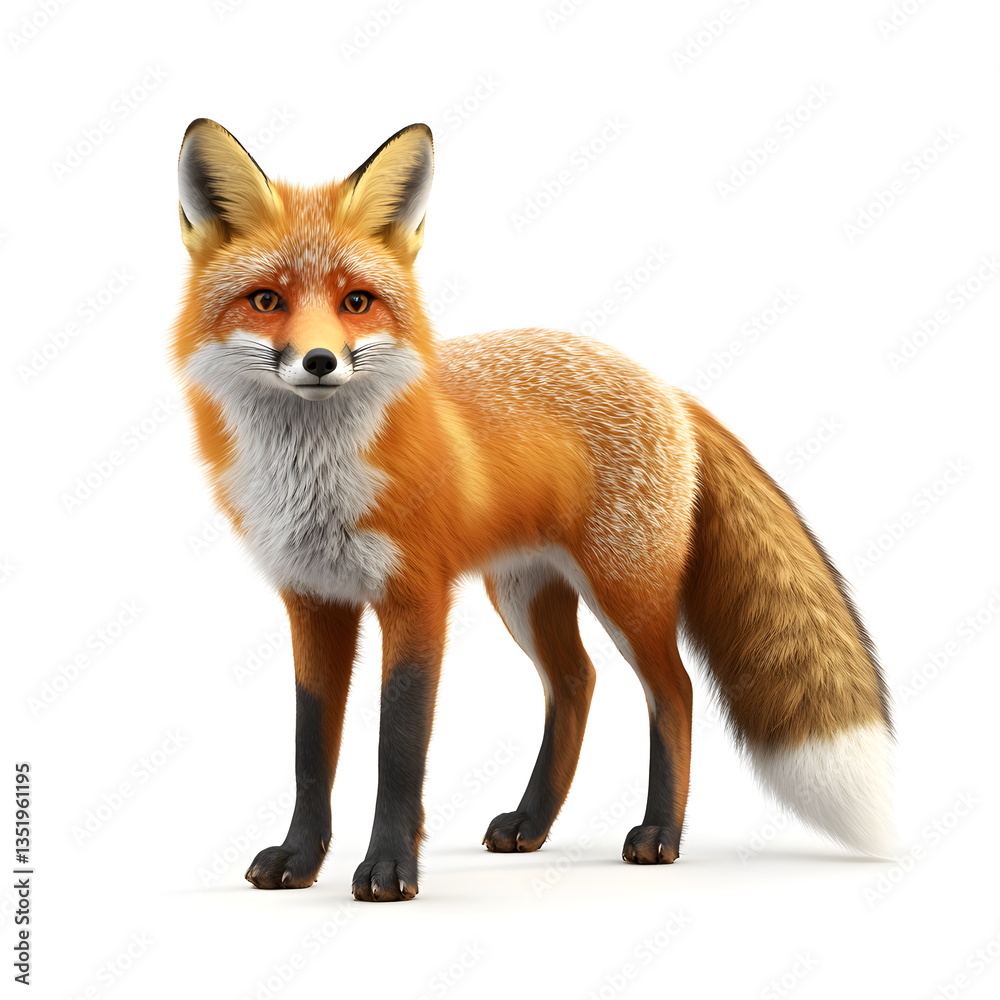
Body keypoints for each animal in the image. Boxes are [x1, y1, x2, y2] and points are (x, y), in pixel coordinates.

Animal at [171, 118, 894, 902]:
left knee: (673, 691)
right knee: (576, 683)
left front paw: (389, 869)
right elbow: (312, 748)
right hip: (523, 592)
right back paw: (532, 822)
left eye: (356, 302)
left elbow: (398, 749)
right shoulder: (314, 599)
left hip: (626, 589)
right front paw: (299, 860)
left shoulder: (417, 597)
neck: (314, 481)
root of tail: (667, 387)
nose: (320, 362)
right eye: (266, 300)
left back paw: (660, 834)